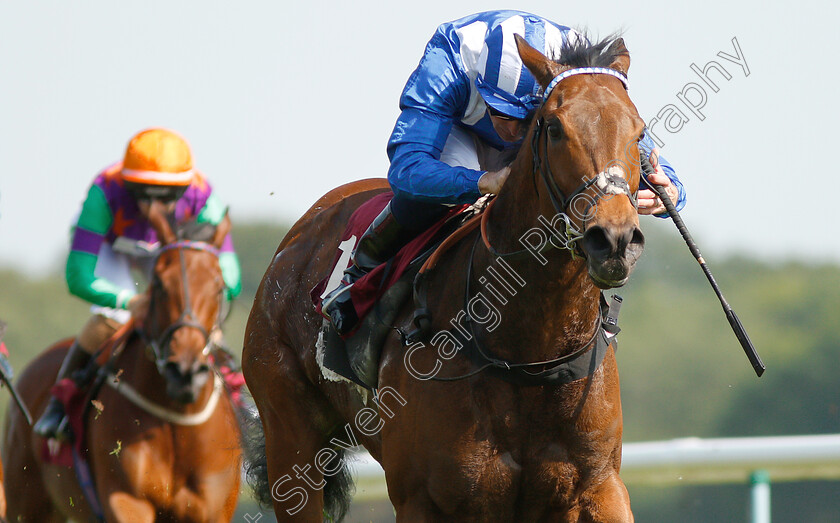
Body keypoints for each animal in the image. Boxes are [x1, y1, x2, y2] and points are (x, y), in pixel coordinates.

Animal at [244, 34, 648, 520]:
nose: (614, 239)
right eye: (553, 127)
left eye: (640, 132)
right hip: (290, 438)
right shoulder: (424, 498)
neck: (526, 354)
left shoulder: (598, 486)